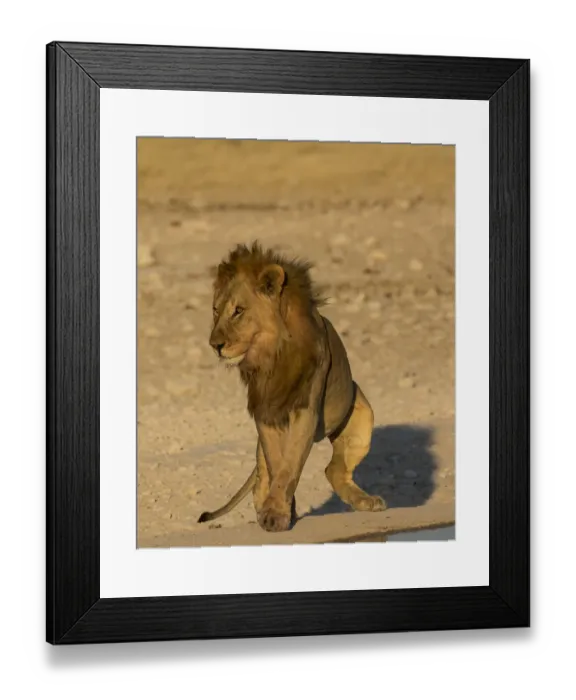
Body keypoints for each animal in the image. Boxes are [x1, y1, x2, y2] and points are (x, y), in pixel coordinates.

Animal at [197, 241, 386, 532]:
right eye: (215, 311)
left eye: (238, 311)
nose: (214, 345)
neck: (271, 356)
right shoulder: (265, 413)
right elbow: (278, 466)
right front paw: (279, 512)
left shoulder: (305, 410)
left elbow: (289, 467)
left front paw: (277, 514)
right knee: (263, 477)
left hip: (364, 418)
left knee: (334, 471)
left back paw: (367, 501)